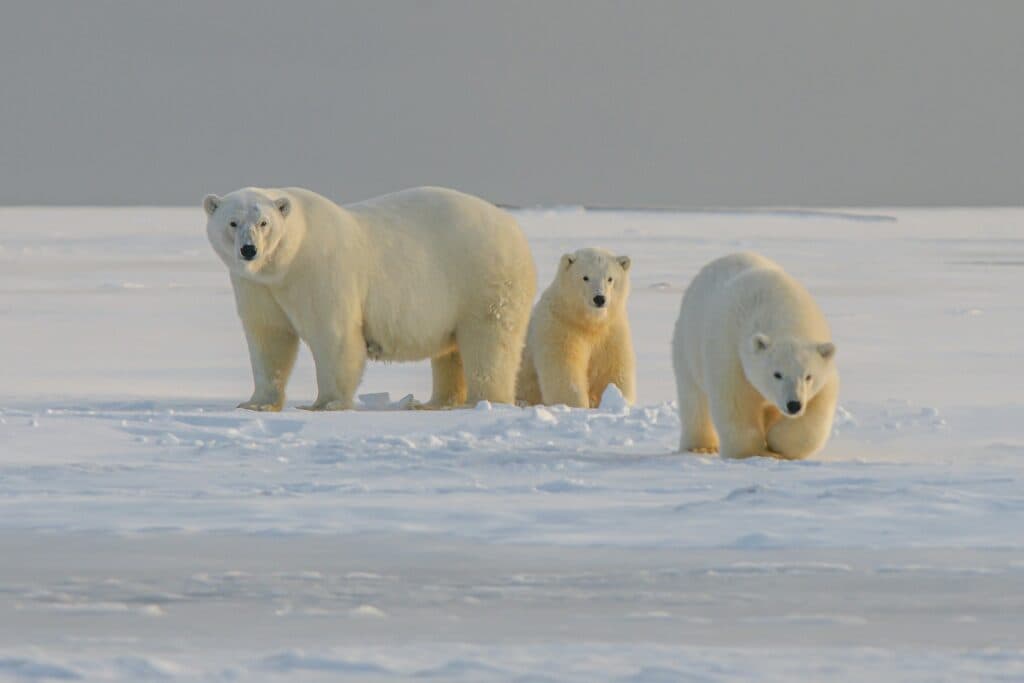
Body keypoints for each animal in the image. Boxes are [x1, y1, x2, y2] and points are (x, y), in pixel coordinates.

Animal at [203, 186, 537, 411]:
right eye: (232, 222)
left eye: (264, 223)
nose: (249, 250)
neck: (286, 261)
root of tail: (514, 228)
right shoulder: (257, 286)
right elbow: (269, 337)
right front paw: (256, 403)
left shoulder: (320, 271)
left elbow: (334, 335)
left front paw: (326, 404)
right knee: (450, 351)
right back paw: (435, 402)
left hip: (482, 279)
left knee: (488, 342)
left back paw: (484, 401)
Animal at [516, 248, 635, 408]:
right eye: (585, 277)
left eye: (610, 278)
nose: (599, 298)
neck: (588, 322)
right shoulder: (560, 327)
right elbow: (565, 371)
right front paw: (577, 405)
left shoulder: (611, 331)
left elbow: (613, 370)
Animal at [671, 252, 838, 460]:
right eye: (777, 374)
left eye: (808, 376)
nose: (794, 405)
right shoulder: (731, 353)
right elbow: (736, 403)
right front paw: (752, 452)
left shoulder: (824, 370)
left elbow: (818, 409)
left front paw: (776, 443)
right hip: (687, 343)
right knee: (693, 398)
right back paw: (701, 447)